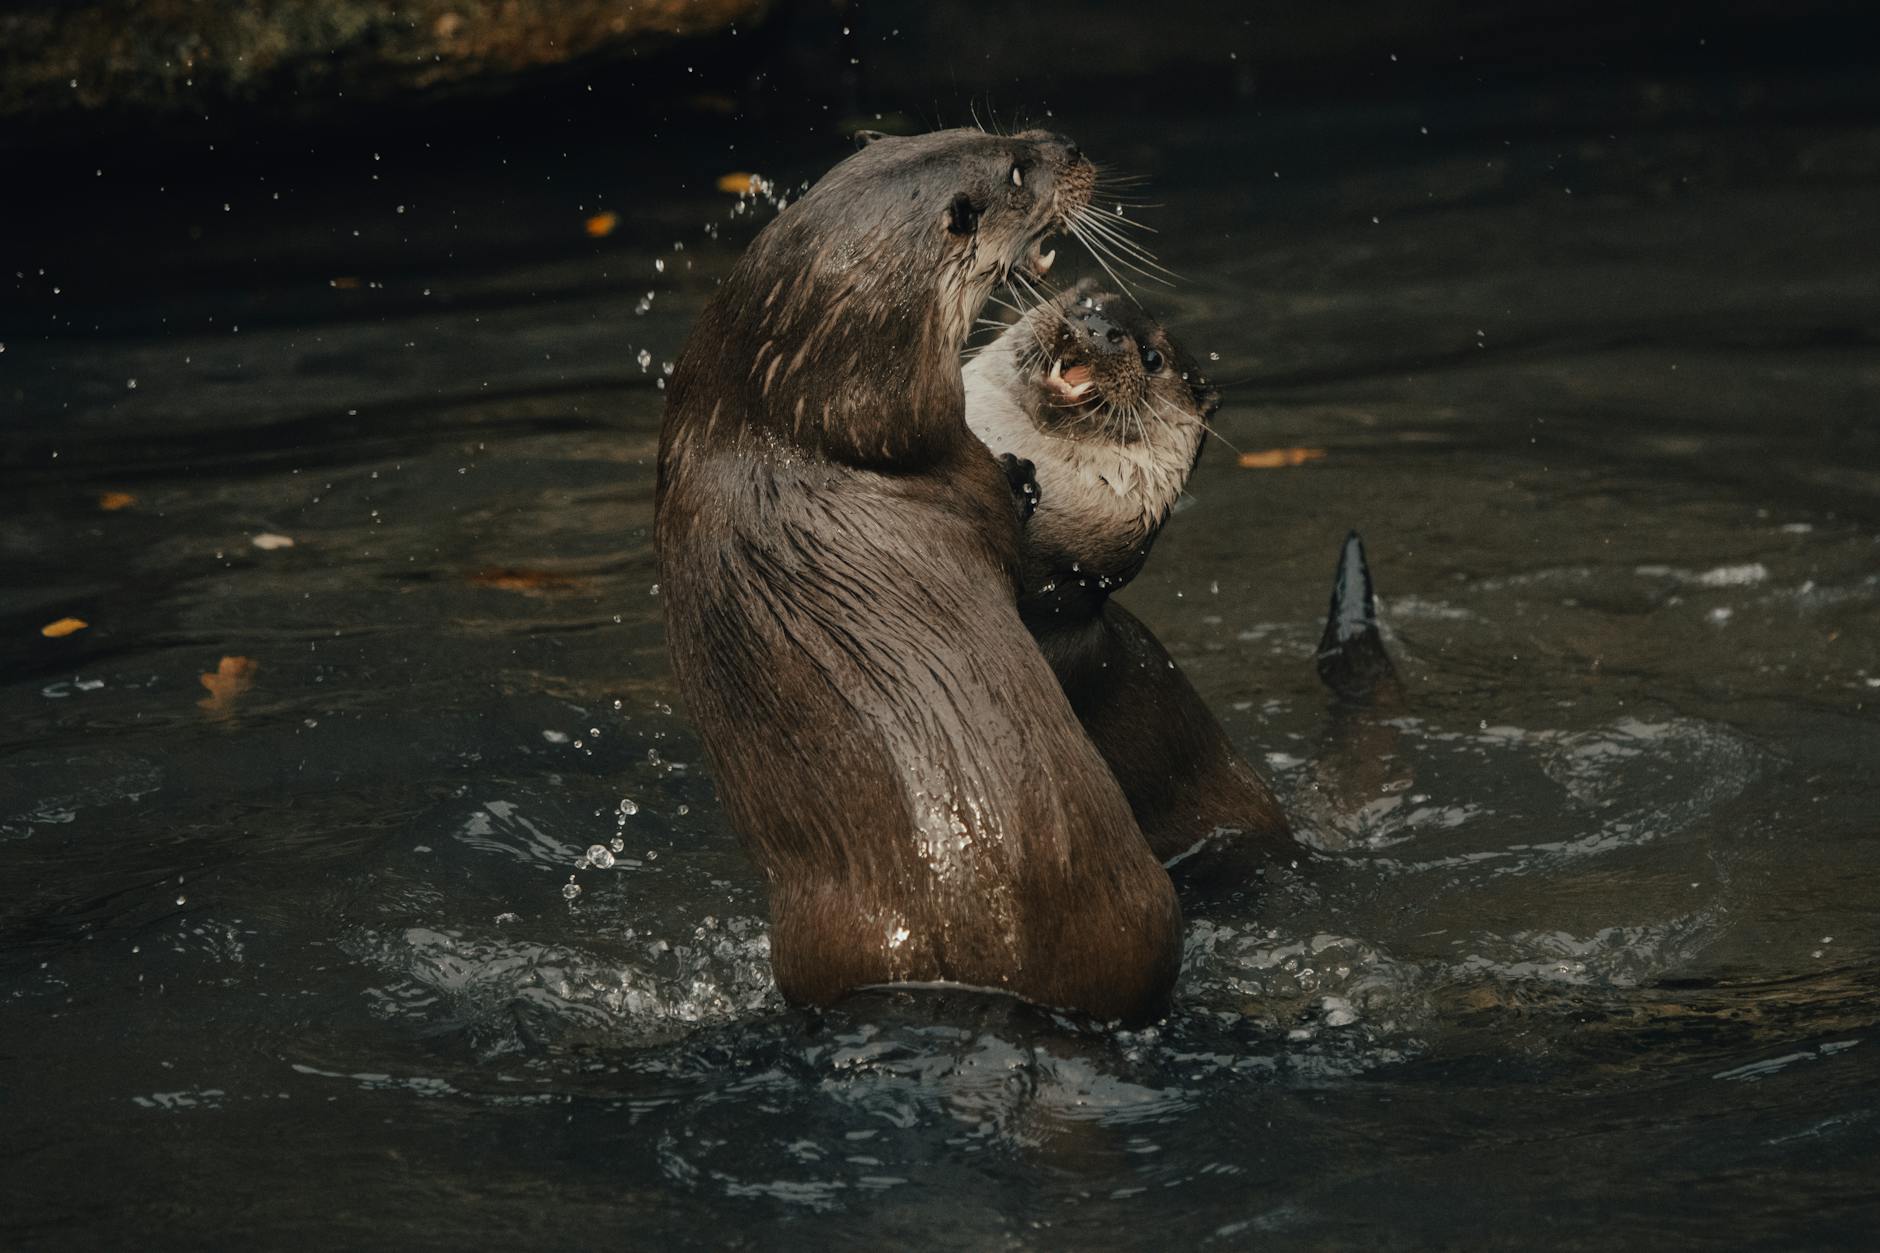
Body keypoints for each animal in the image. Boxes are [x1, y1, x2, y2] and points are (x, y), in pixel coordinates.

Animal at [655, 130, 1181, 1023]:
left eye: (992, 133)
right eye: (1017, 174)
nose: (1064, 145)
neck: (786, 420)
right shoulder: (958, 470)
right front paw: (1024, 479)